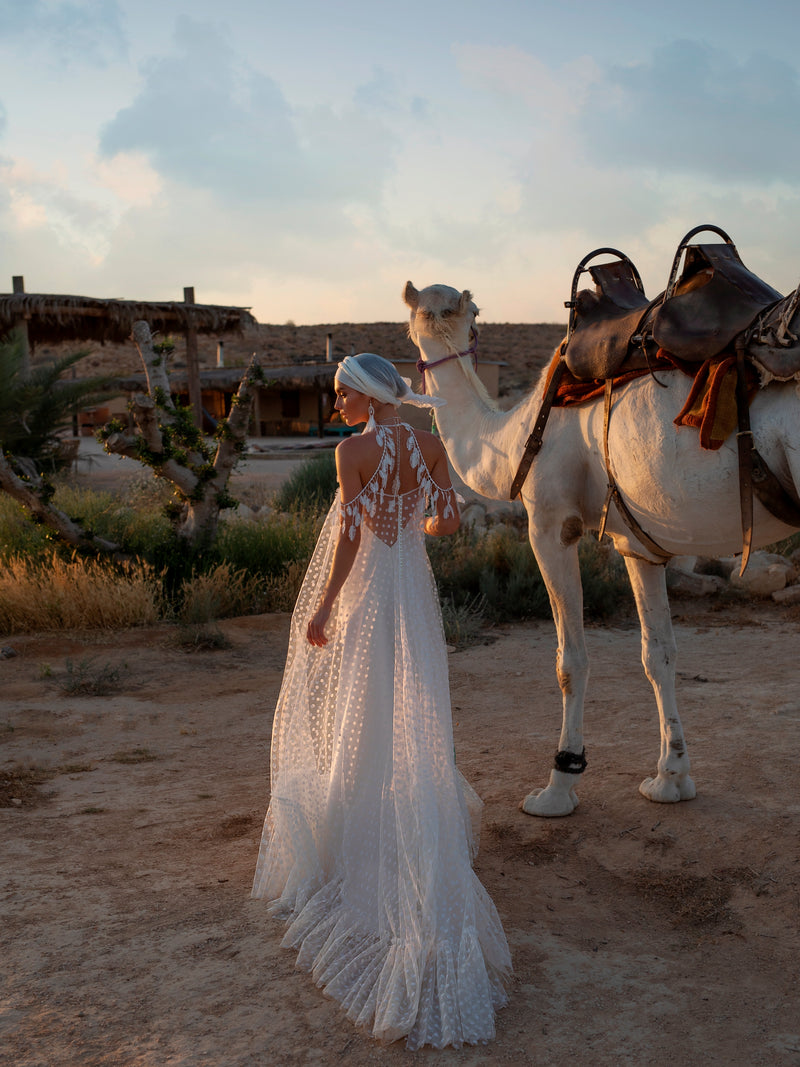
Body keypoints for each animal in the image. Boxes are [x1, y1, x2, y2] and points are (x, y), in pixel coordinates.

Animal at [403, 281, 800, 815]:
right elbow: (659, 654)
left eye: (459, 313)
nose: (439, 331)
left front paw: (558, 784)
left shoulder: (550, 524)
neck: (515, 437)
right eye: (427, 312)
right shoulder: (639, 545)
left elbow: (570, 660)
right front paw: (671, 778)